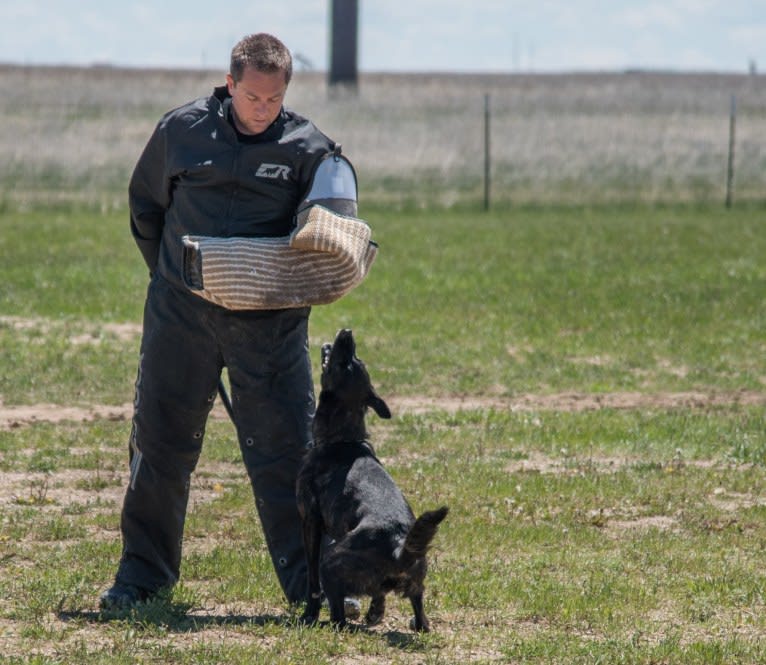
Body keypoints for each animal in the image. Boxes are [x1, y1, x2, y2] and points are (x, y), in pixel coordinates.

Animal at [296, 330, 450, 632]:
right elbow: (379, 595)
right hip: (417, 581)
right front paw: (376, 612)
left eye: (346, 362)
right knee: (418, 610)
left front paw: (309, 614)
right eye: (355, 359)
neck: (343, 439)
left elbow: (311, 581)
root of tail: (399, 547)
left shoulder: (310, 522)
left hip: (331, 562)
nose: (347, 333)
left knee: (338, 614)